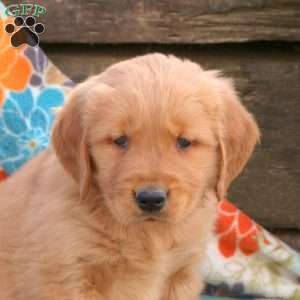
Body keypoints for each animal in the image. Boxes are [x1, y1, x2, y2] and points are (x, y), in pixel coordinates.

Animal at [0, 54, 258, 300]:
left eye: (184, 142)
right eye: (120, 140)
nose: (151, 199)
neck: (150, 235)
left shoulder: (182, 273)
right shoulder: (67, 275)